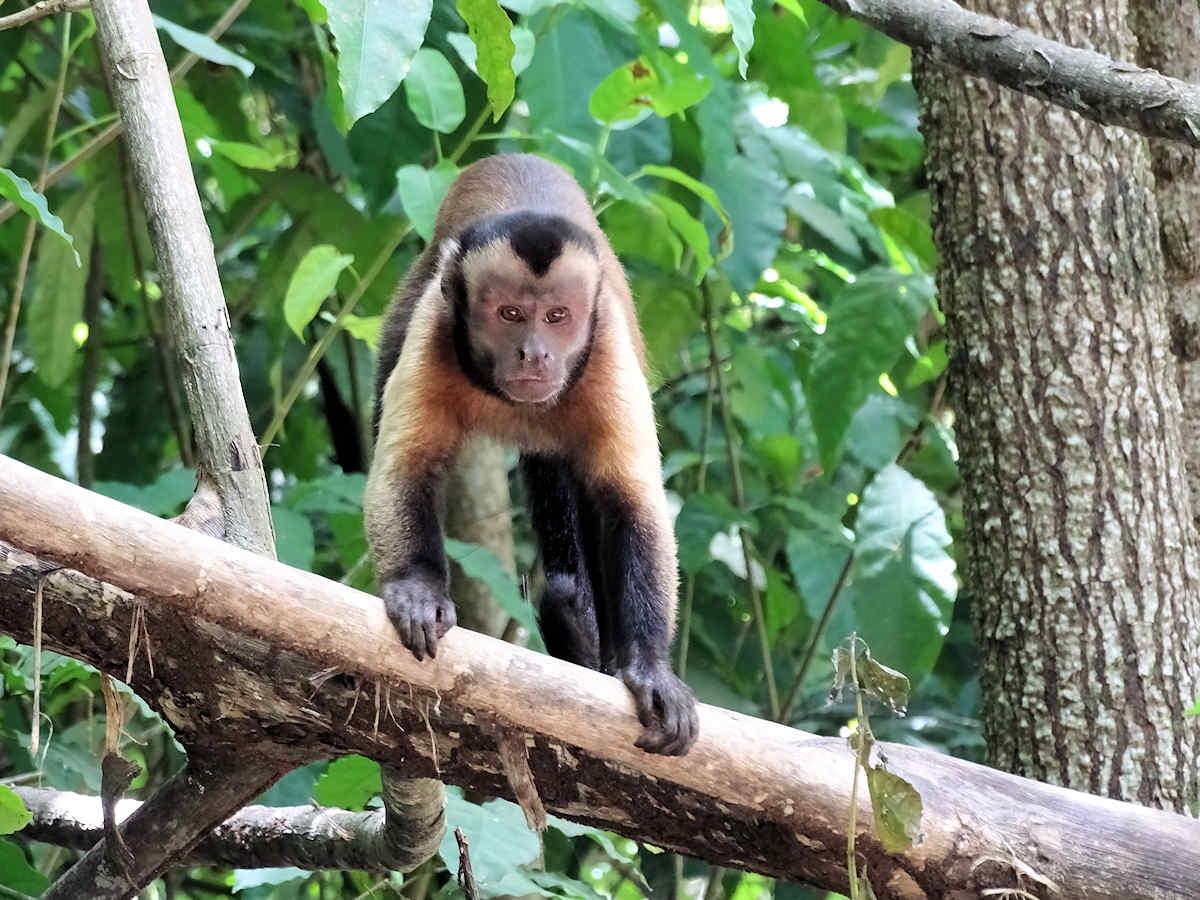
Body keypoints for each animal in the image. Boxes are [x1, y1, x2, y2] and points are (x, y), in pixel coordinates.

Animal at [364, 153, 698, 756]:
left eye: (558, 317)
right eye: (511, 314)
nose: (534, 354)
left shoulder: (607, 349)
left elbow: (632, 504)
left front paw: (650, 667)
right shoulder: (435, 327)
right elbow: (407, 467)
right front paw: (419, 587)